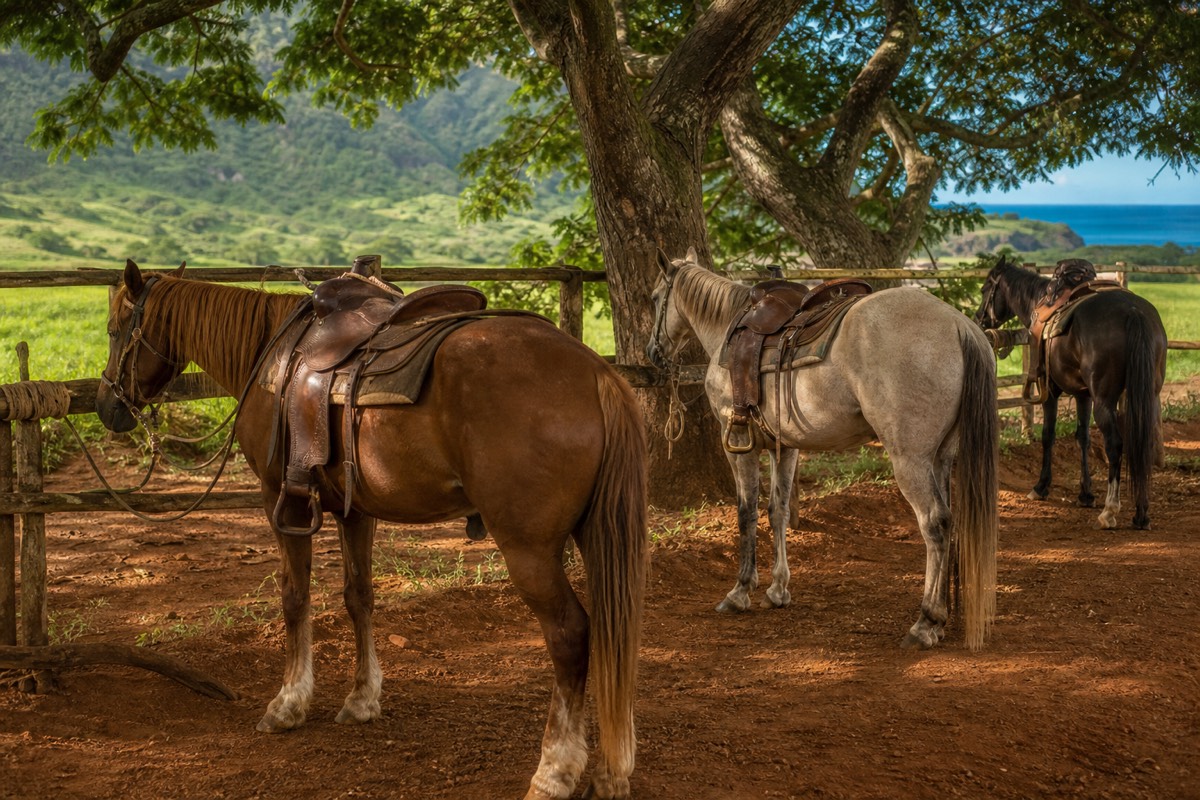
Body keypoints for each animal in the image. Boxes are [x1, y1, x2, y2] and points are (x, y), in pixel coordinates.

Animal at [96, 260, 647, 800]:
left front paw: (289, 703)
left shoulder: (282, 499)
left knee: (571, 636)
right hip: (594, 536)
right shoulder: (355, 511)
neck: (269, 356)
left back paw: (553, 772)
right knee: (612, 632)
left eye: (114, 329)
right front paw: (362, 698)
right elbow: (359, 596)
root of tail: (596, 373)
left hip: (528, 549)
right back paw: (610, 772)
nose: (107, 405)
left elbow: (295, 596)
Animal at [645, 249, 999, 651]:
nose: (653, 352)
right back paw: (940, 619)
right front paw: (778, 590)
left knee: (935, 524)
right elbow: (778, 510)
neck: (727, 329)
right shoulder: (785, 448)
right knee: (950, 521)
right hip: (941, 457)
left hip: (910, 460)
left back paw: (926, 622)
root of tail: (959, 326)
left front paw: (740, 591)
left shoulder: (737, 442)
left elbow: (746, 513)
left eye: (655, 298)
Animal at [975, 256, 1167, 530]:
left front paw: (1041, 487)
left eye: (985, 290)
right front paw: (1085, 493)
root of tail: (1134, 312)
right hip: (1145, 395)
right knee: (1141, 442)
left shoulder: (1051, 391)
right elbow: (1082, 437)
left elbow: (1048, 435)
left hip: (1104, 401)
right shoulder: (1083, 394)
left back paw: (1110, 511)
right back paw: (1141, 514)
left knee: (1115, 445)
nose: (978, 318)